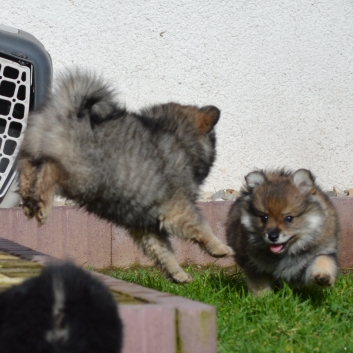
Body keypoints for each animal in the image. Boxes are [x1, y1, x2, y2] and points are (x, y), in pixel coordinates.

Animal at [17, 69, 234, 284]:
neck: (181, 139)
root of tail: (67, 108)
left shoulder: (146, 225)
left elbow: (164, 252)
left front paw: (178, 274)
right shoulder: (178, 208)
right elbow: (202, 227)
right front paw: (221, 249)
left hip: (36, 152)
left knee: (27, 166)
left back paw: (28, 199)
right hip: (84, 175)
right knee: (50, 169)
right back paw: (42, 205)